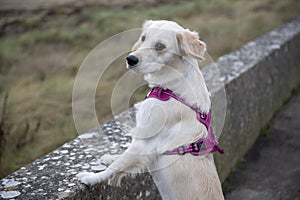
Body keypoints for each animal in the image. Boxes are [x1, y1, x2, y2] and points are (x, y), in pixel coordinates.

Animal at [77, 20, 225, 200]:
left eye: (160, 46)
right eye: (143, 38)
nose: (130, 59)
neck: (171, 90)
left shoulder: (144, 144)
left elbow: (118, 166)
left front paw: (91, 178)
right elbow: (120, 158)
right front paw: (110, 157)